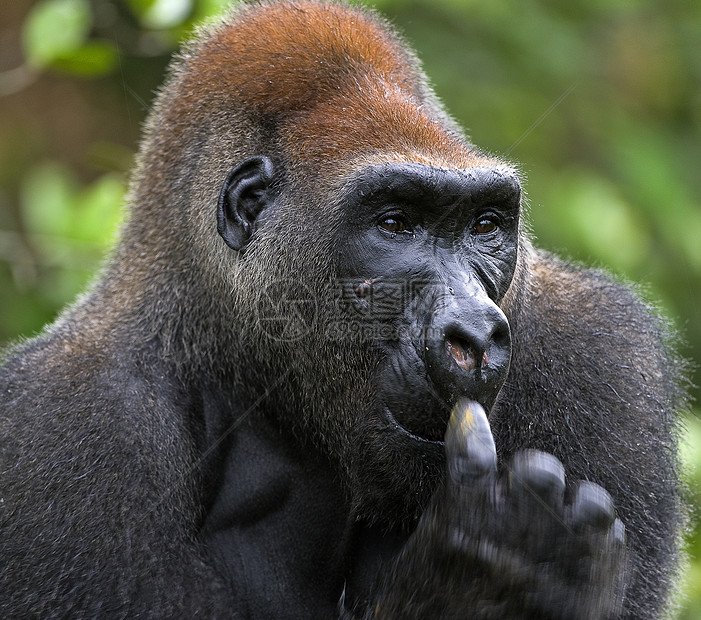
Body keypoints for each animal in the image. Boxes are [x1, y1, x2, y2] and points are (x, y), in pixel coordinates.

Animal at [0, 1, 684, 620]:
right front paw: (488, 585)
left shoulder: (602, 351)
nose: (475, 334)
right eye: (394, 223)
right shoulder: (64, 425)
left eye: (485, 226)